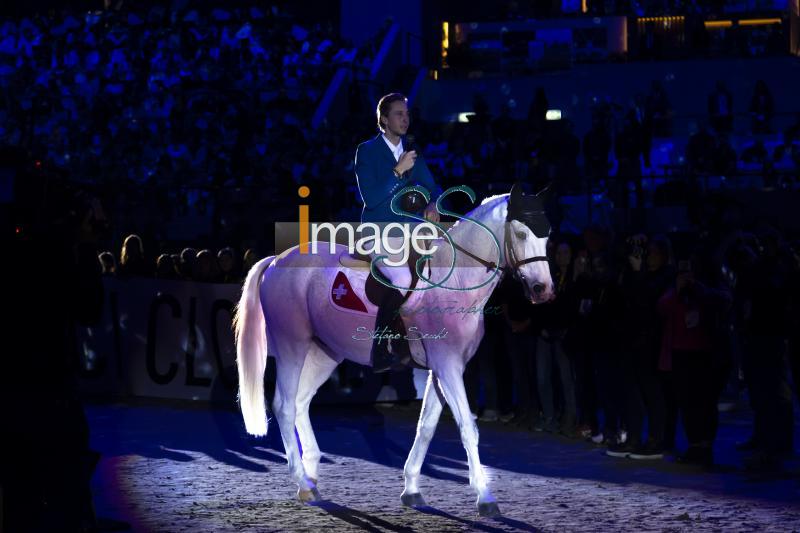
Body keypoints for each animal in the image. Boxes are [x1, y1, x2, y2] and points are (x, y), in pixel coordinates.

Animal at [234, 184, 552, 516]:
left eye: (548, 235)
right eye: (520, 233)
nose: (543, 290)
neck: (454, 279)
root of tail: (276, 260)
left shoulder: (440, 370)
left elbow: (426, 427)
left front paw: (411, 489)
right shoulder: (448, 367)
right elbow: (467, 426)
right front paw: (485, 496)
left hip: (325, 353)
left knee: (299, 402)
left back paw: (310, 481)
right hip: (292, 347)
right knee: (284, 405)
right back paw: (303, 481)